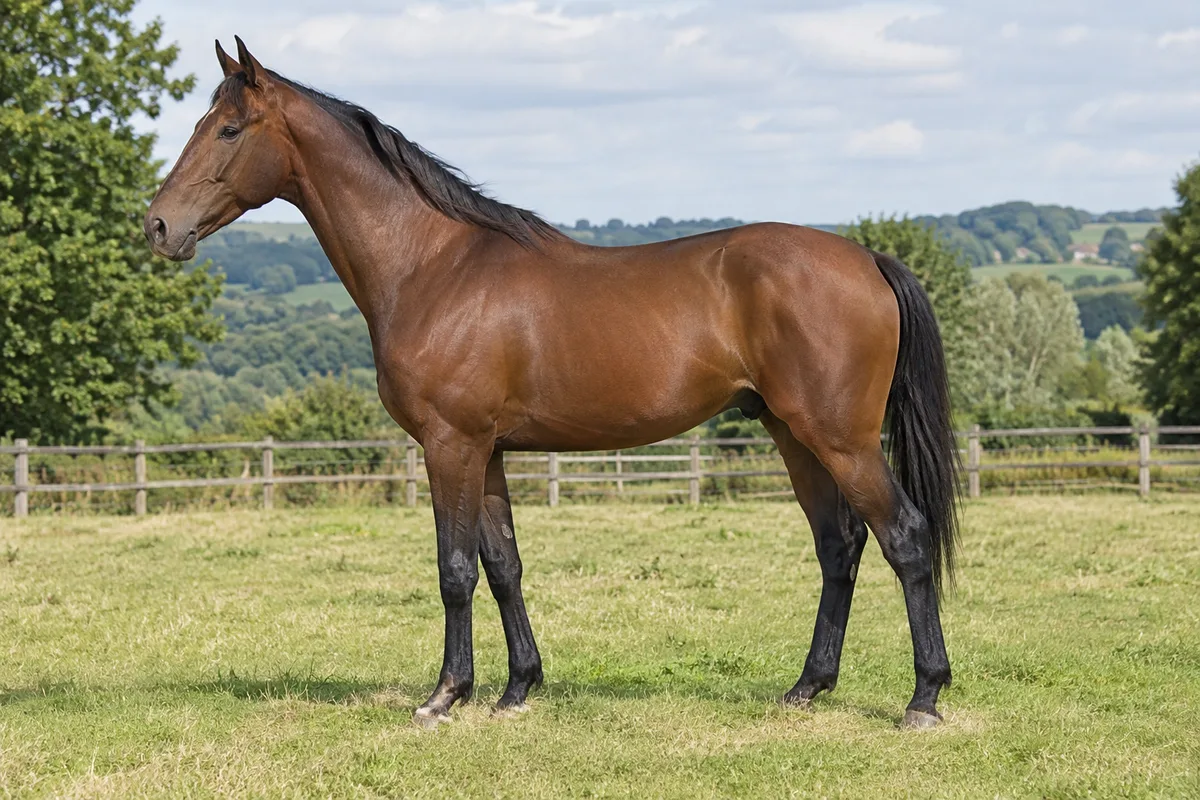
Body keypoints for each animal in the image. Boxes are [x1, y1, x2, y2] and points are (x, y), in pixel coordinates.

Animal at [145, 37, 960, 730]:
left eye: (228, 130)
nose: (157, 226)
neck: (432, 265)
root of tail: (866, 258)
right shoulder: (489, 451)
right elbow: (503, 565)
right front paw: (516, 689)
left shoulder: (450, 445)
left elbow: (454, 570)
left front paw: (445, 696)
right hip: (793, 434)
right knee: (838, 546)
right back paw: (807, 688)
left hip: (841, 438)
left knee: (905, 537)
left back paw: (923, 698)